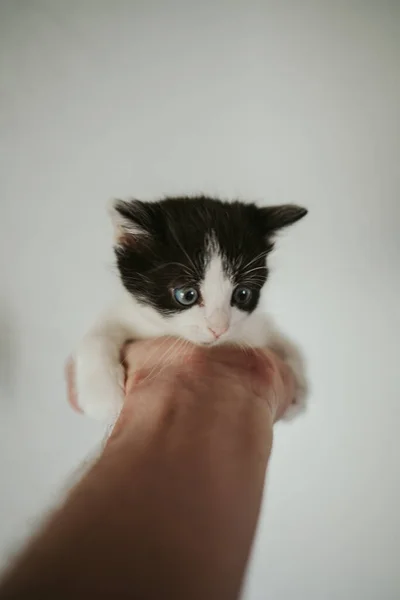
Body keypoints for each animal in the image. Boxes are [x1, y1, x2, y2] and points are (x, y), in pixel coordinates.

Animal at [74, 197, 306, 422]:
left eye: (242, 294)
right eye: (187, 295)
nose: (219, 329)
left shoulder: (253, 327)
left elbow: (281, 339)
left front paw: (299, 386)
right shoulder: (129, 313)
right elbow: (99, 333)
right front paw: (101, 395)